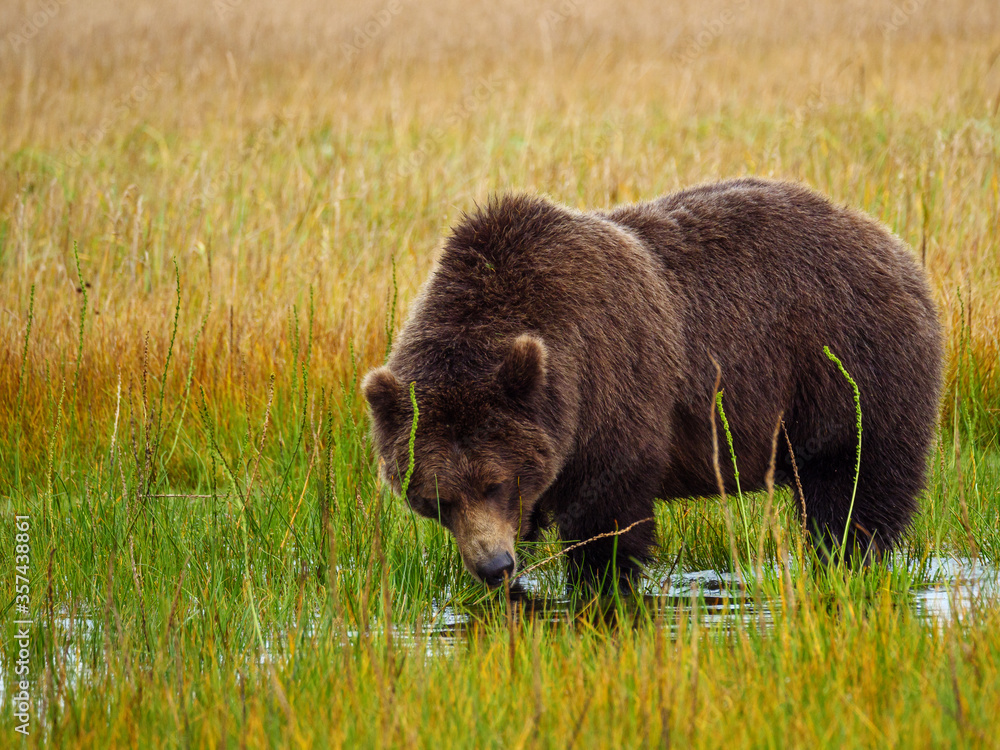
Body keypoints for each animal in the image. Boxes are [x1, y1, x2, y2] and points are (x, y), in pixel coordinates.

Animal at [364, 179, 940, 592]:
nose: (493, 565)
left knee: (853, 487)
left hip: (847, 367)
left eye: (495, 482)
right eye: (437, 499)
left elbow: (607, 515)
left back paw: (845, 559)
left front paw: (602, 585)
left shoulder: (610, 380)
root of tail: (894, 246)